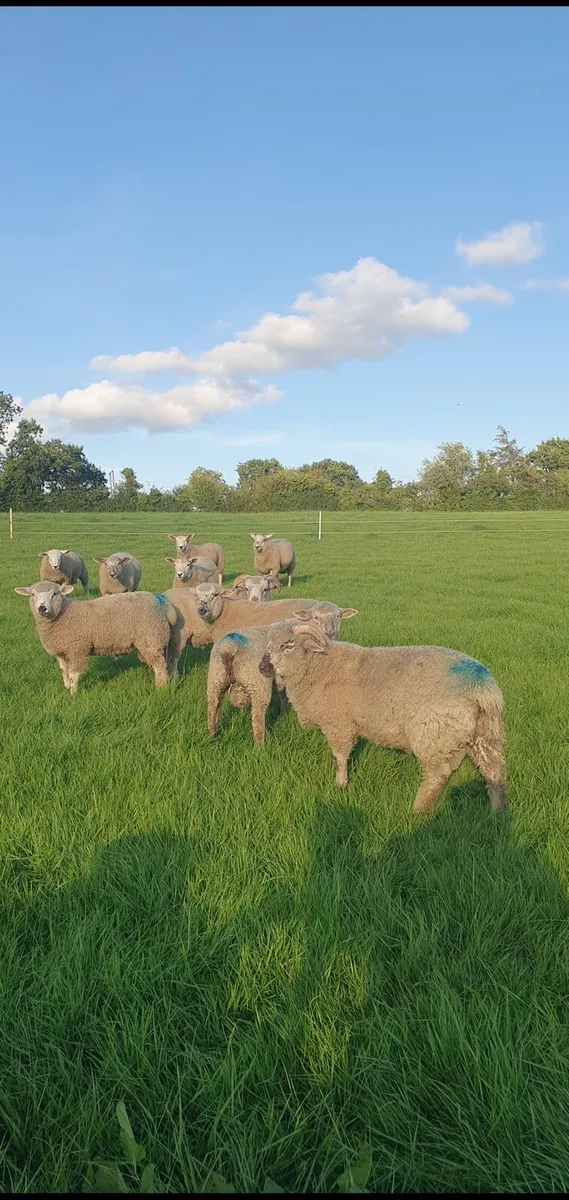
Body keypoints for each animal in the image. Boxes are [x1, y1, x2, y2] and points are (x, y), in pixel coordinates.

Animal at [14, 581, 178, 693]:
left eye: (55, 594)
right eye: (33, 594)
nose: (42, 608)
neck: (63, 615)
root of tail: (164, 604)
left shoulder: (77, 648)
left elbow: (74, 673)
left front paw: (73, 693)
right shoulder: (62, 651)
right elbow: (64, 671)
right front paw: (66, 686)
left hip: (151, 638)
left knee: (160, 665)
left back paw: (161, 688)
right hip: (154, 640)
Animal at [207, 603, 358, 745]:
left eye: (337, 616)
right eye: (316, 617)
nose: (329, 632)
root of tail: (230, 648)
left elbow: (284, 697)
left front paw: (283, 715)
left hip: (215, 679)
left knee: (213, 709)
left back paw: (212, 738)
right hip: (258, 685)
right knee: (257, 718)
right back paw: (260, 746)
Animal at [259, 623, 507, 814]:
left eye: (288, 644)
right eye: (268, 644)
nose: (262, 667)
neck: (319, 666)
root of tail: (481, 686)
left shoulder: (339, 724)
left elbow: (339, 757)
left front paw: (340, 785)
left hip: (435, 735)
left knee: (437, 776)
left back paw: (417, 811)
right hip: (484, 733)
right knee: (494, 771)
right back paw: (496, 812)